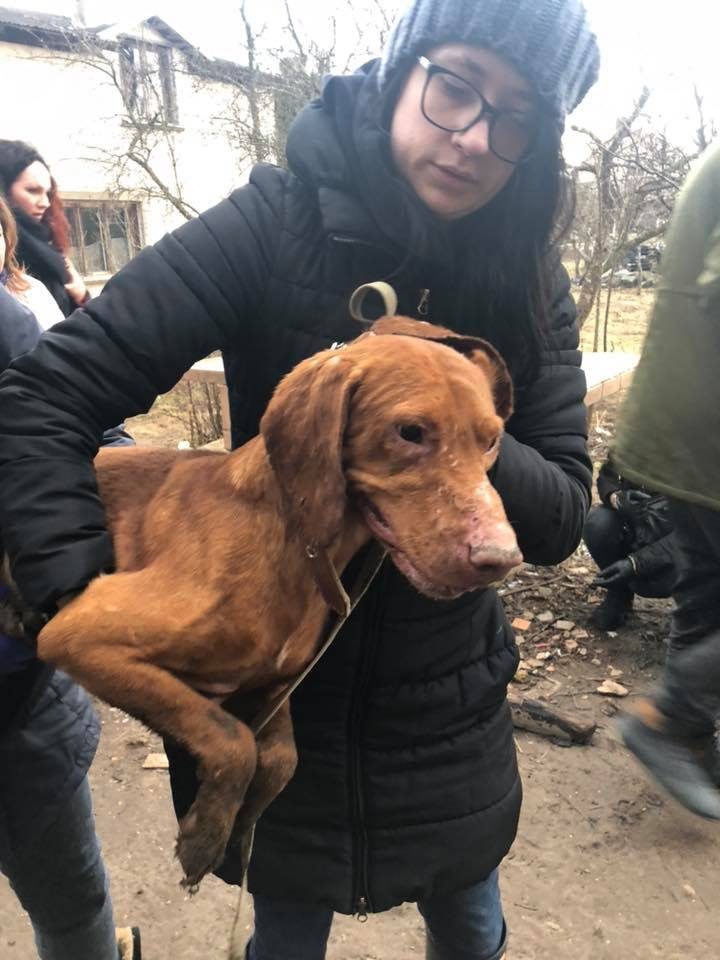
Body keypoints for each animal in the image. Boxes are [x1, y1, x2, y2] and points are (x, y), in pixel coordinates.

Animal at [31, 316, 520, 884]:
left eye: (492, 440)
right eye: (409, 432)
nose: (502, 558)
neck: (293, 541)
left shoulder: (275, 682)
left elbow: (283, 759)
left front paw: (241, 831)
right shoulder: (77, 634)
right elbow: (235, 741)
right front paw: (206, 835)